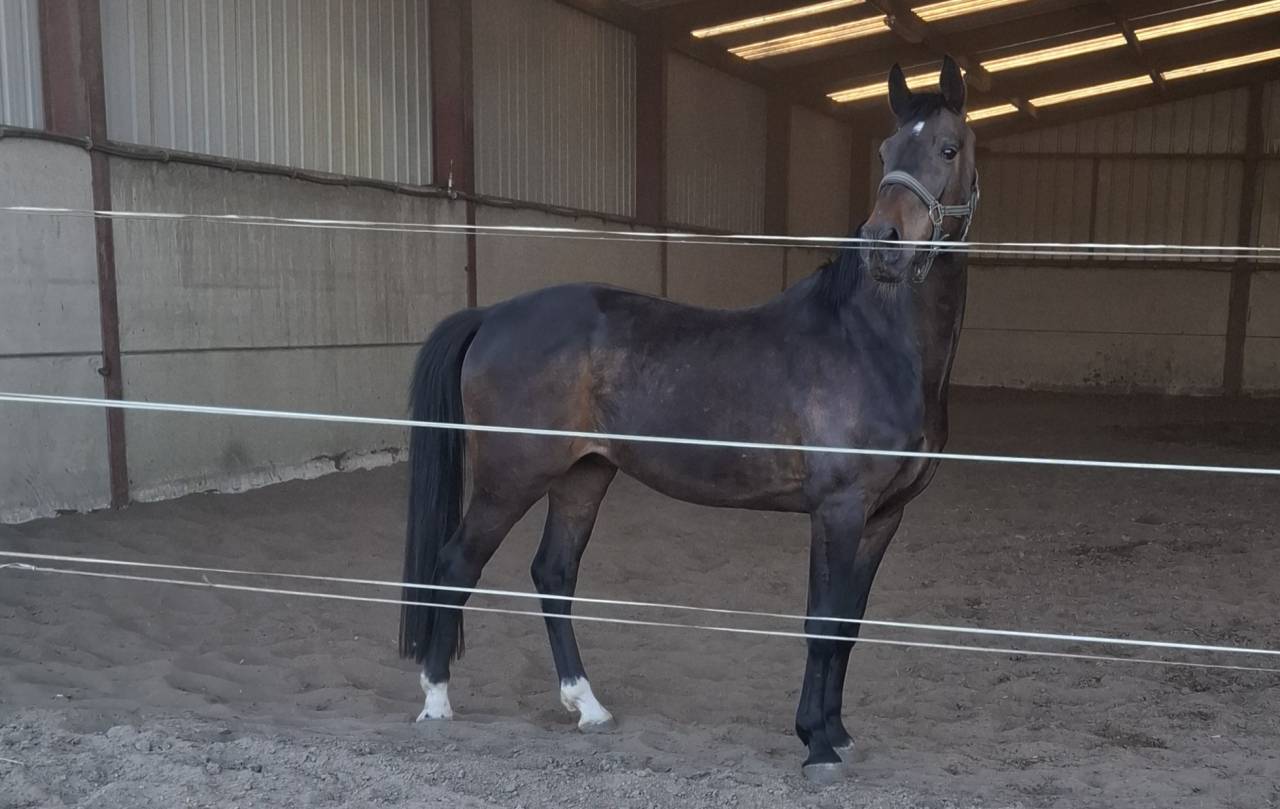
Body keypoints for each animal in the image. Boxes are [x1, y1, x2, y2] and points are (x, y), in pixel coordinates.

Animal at [398, 56, 978, 782]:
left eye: (948, 149)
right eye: (885, 152)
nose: (883, 245)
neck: (872, 342)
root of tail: (491, 315)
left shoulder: (884, 516)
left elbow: (848, 625)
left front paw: (839, 733)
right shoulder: (839, 509)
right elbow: (820, 624)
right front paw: (816, 744)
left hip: (583, 476)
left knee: (553, 575)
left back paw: (587, 707)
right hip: (511, 479)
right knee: (454, 565)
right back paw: (436, 702)